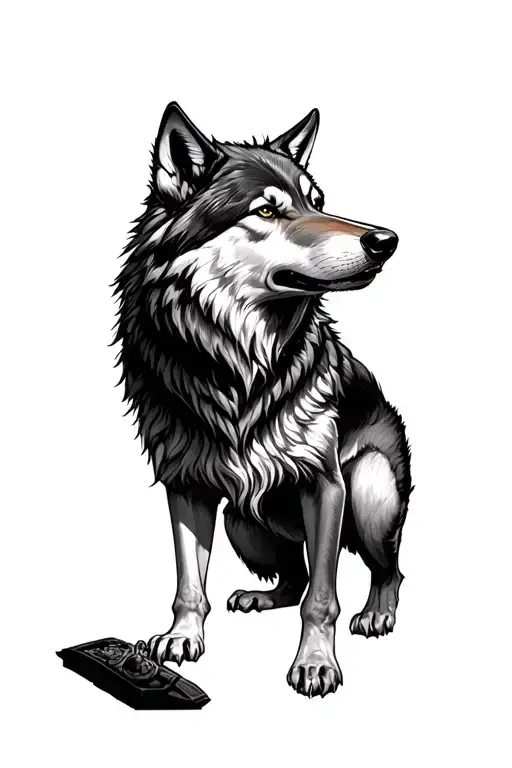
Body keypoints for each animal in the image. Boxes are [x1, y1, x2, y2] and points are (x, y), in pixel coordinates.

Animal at [114, 102, 412, 698]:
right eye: (267, 210)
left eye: (316, 201)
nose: (384, 240)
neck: (239, 361)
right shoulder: (186, 486)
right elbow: (189, 583)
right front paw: (181, 638)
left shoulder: (326, 485)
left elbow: (322, 599)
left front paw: (316, 664)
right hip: (239, 519)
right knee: (294, 576)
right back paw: (261, 595)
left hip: (368, 487)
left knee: (384, 568)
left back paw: (378, 613)